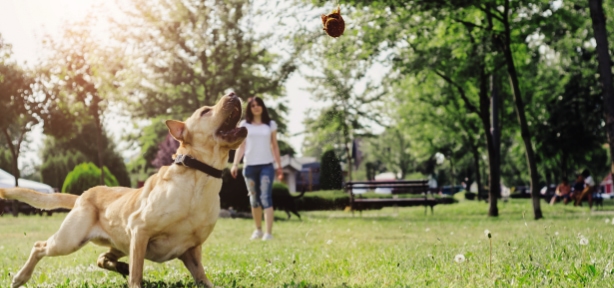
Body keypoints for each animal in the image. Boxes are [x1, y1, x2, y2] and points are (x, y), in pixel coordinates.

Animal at [3, 93, 248, 288]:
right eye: (205, 111)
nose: (233, 94)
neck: (198, 179)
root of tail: (83, 195)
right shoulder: (140, 231)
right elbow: (137, 273)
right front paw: (134, 278)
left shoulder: (192, 250)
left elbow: (202, 278)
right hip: (69, 240)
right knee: (39, 247)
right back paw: (20, 277)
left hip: (118, 242)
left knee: (102, 258)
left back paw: (120, 267)